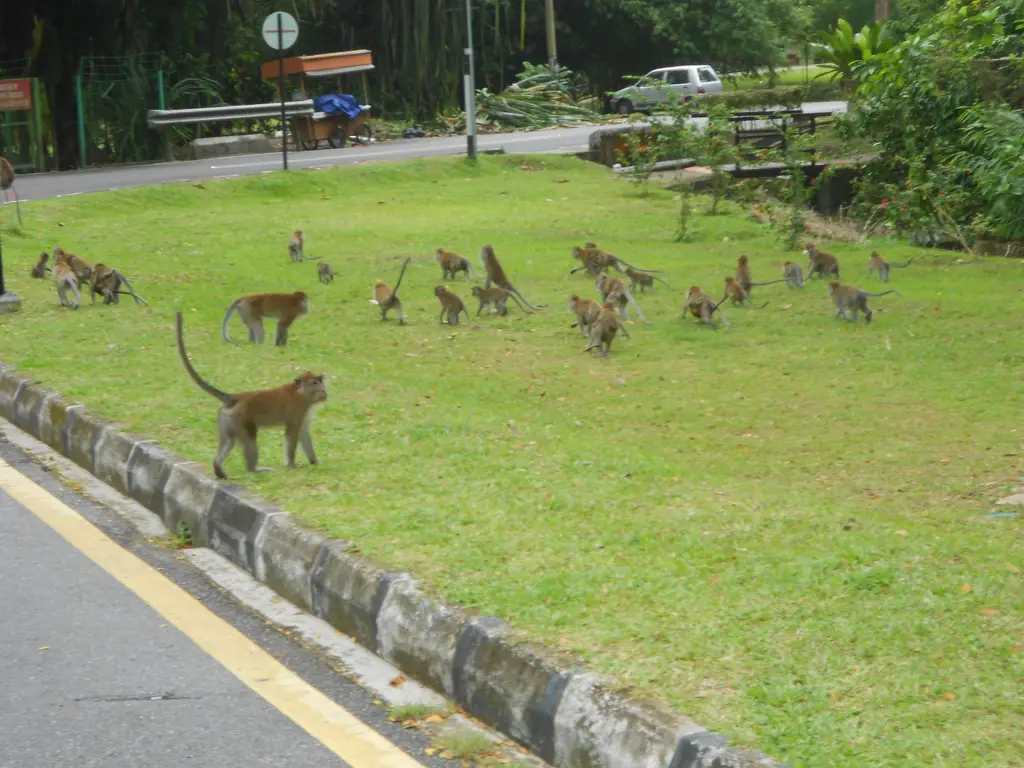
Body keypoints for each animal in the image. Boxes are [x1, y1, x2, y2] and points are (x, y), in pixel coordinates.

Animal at [175, 311, 327, 480]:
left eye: (320, 381)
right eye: (314, 383)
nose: (323, 391)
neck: (300, 394)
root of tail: (235, 397)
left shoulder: (305, 412)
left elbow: (304, 432)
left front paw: (314, 461)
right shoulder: (297, 410)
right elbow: (292, 434)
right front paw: (292, 465)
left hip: (226, 419)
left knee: (228, 441)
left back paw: (218, 468)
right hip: (240, 419)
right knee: (250, 439)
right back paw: (253, 469)